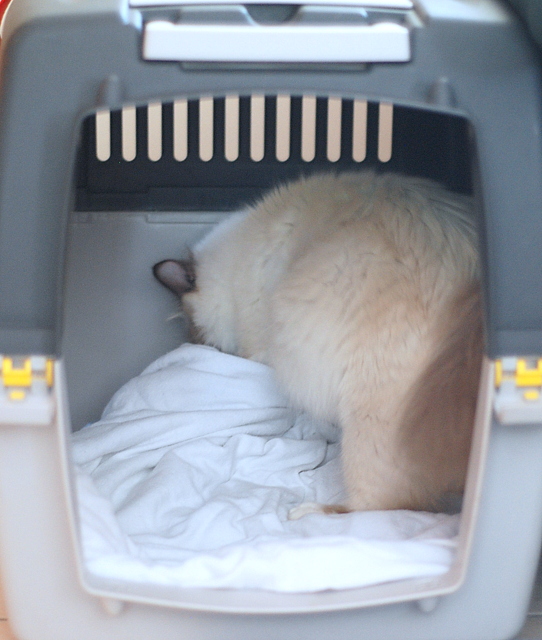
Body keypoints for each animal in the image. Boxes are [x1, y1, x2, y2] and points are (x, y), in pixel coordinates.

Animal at [154, 172, 484, 512]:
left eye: (195, 331)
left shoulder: (258, 342)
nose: (200, 343)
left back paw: (307, 512)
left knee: (381, 505)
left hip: (366, 423)